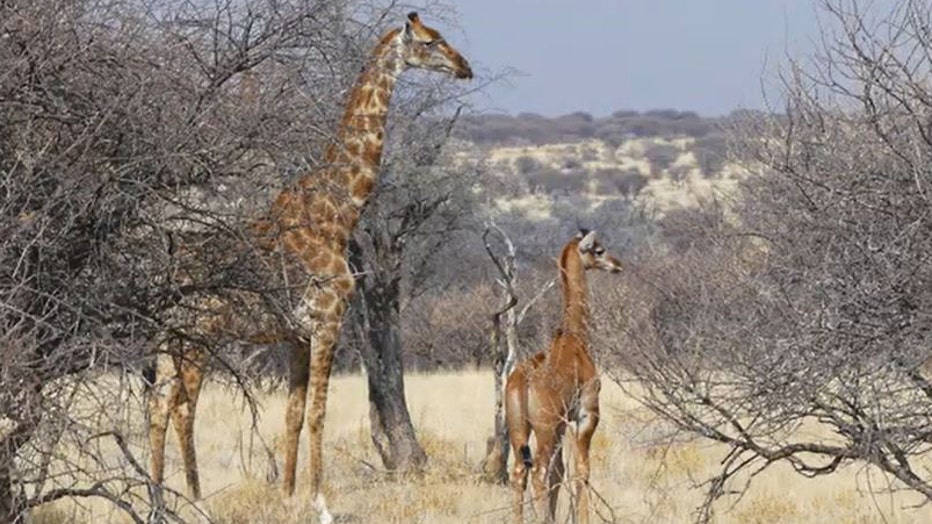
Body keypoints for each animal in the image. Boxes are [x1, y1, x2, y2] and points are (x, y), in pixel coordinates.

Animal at [146, 12, 472, 523]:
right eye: (429, 42)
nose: (464, 67)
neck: (336, 213)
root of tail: (164, 274)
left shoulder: (297, 334)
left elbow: (294, 414)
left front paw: (286, 497)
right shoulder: (327, 322)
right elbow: (319, 413)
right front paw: (321, 503)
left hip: (169, 337)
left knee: (159, 404)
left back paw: (160, 503)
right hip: (195, 334)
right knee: (177, 406)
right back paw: (191, 504)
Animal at [505, 230, 622, 524]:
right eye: (599, 250)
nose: (617, 264)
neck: (574, 336)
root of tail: (522, 383)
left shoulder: (561, 425)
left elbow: (560, 474)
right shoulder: (586, 414)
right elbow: (582, 470)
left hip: (520, 428)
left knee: (520, 473)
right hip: (544, 429)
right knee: (538, 472)